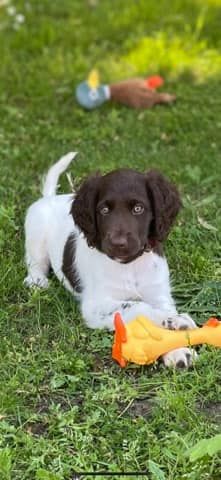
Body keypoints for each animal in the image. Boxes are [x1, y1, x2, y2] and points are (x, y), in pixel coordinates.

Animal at [24, 153, 197, 368]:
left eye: (138, 208)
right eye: (104, 210)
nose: (118, 243)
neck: (129, 265)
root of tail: (49, 198)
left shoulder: (159, 293)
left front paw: (176, 347)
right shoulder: (94, 306)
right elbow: (137, 307)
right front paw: (177, 320)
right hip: (36, 234)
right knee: (35, 263)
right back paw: (37, 281)